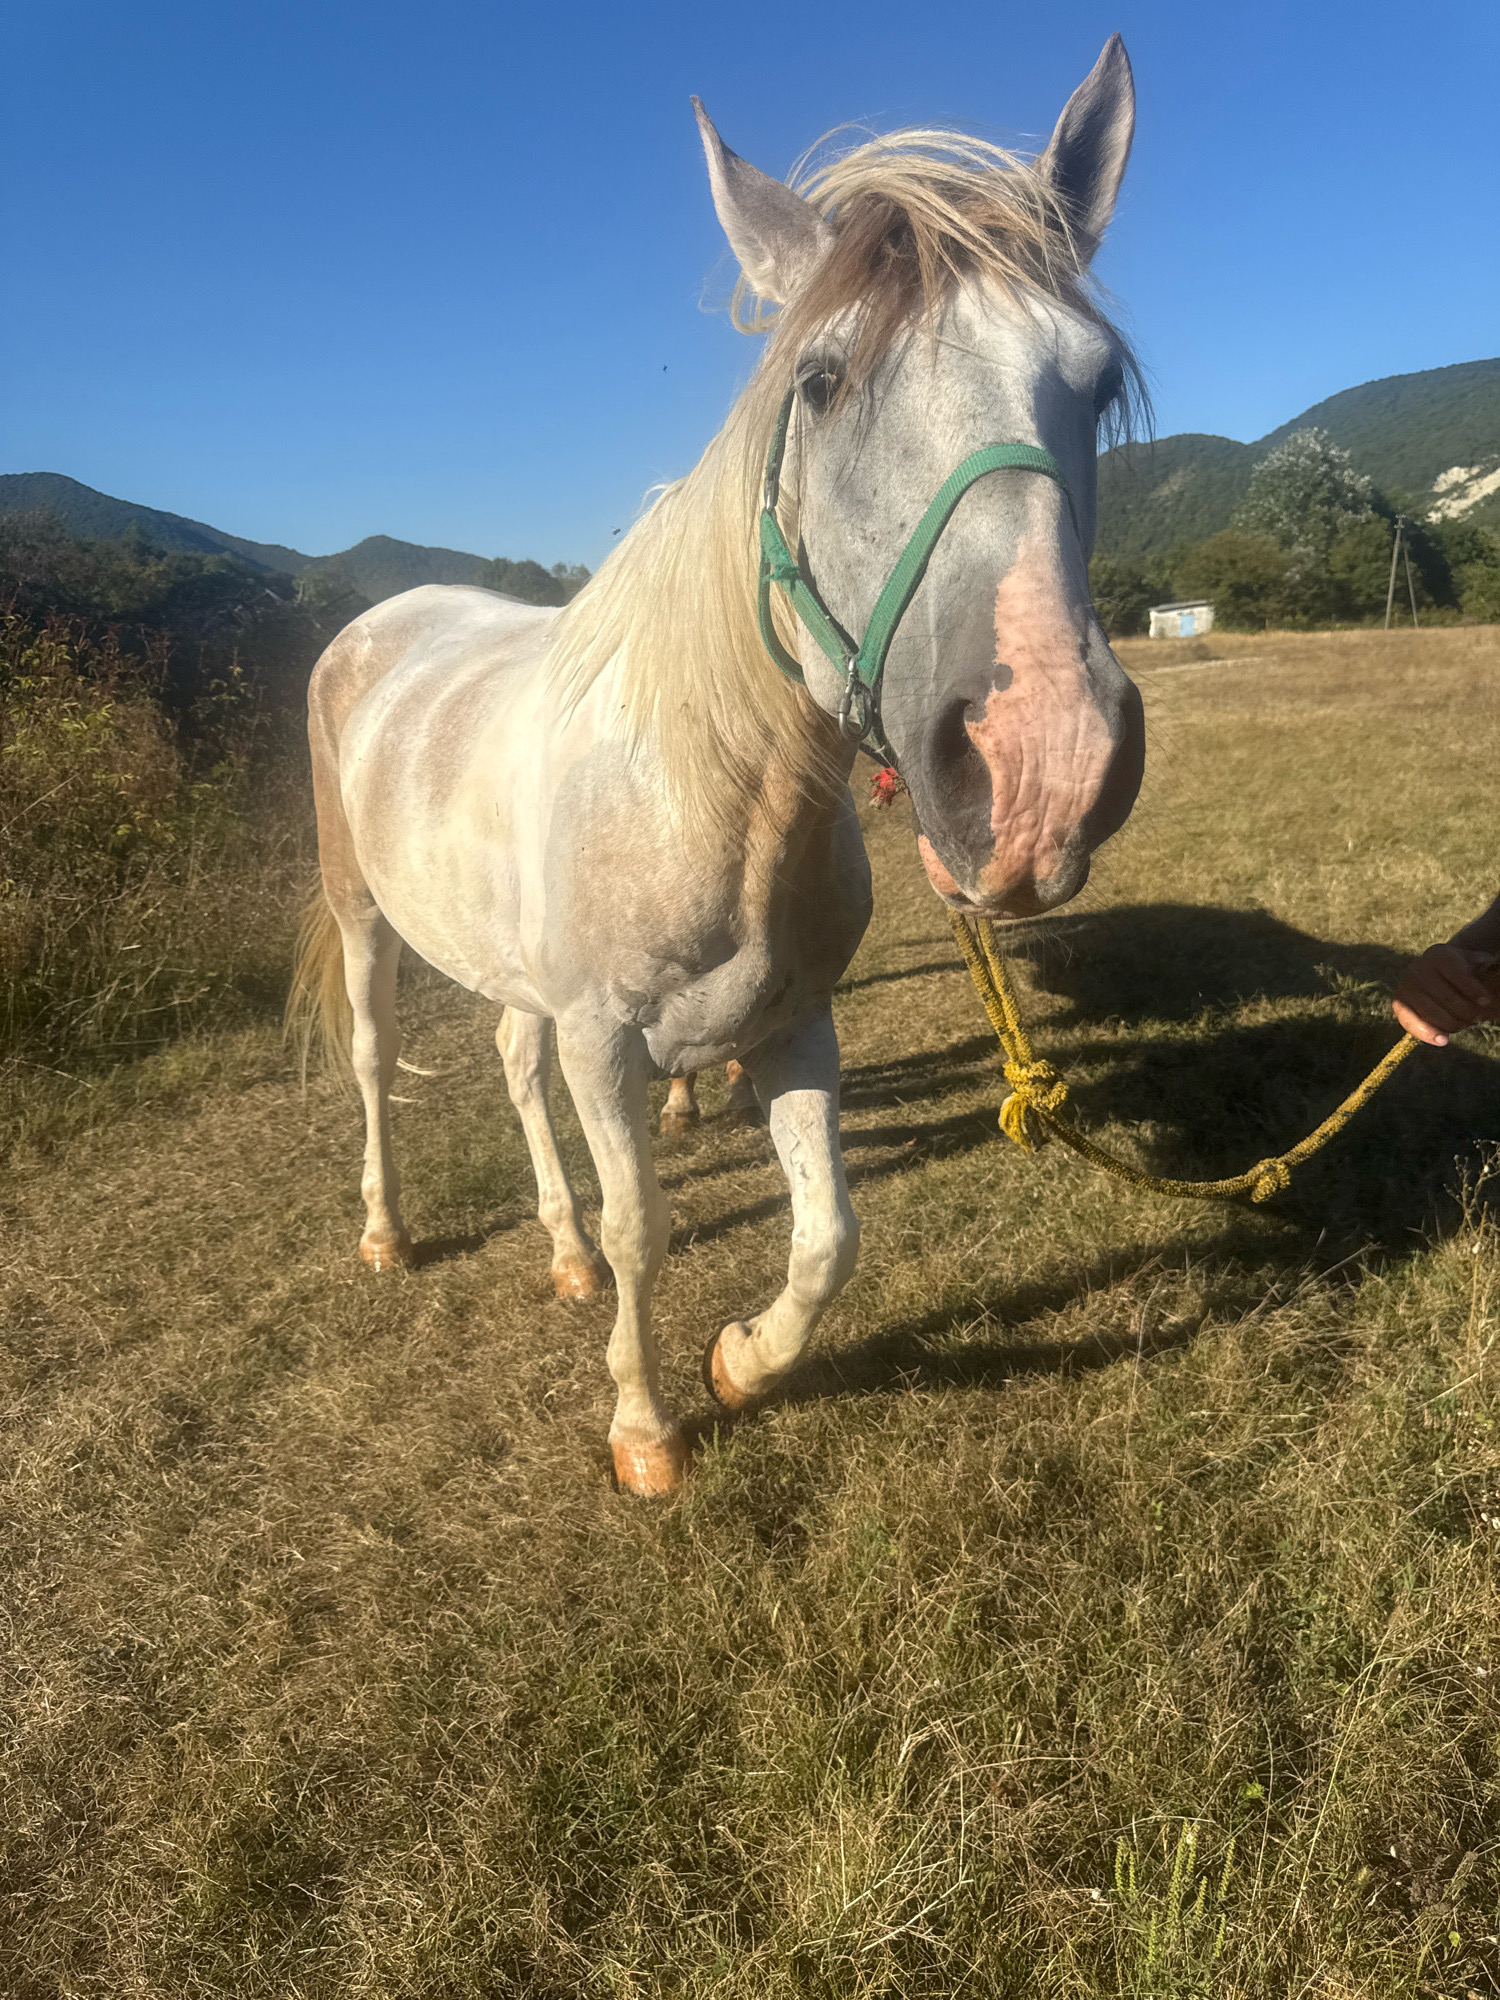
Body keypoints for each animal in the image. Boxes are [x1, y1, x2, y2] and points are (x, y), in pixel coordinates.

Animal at [289, 37, 1146, 1497]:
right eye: (822, 378)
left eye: (1091, 383)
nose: (1043, 769)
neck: (707, 793)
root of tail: (375, 623)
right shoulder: (606, 1039)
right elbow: (647, 1224)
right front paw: (645, 1426)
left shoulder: (793, 1021)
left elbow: (831, 1231)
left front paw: (741, 1361)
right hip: (366, 920)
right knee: (373, 1058)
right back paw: (389, 1231)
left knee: (513, 1069)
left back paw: (560, 1251)